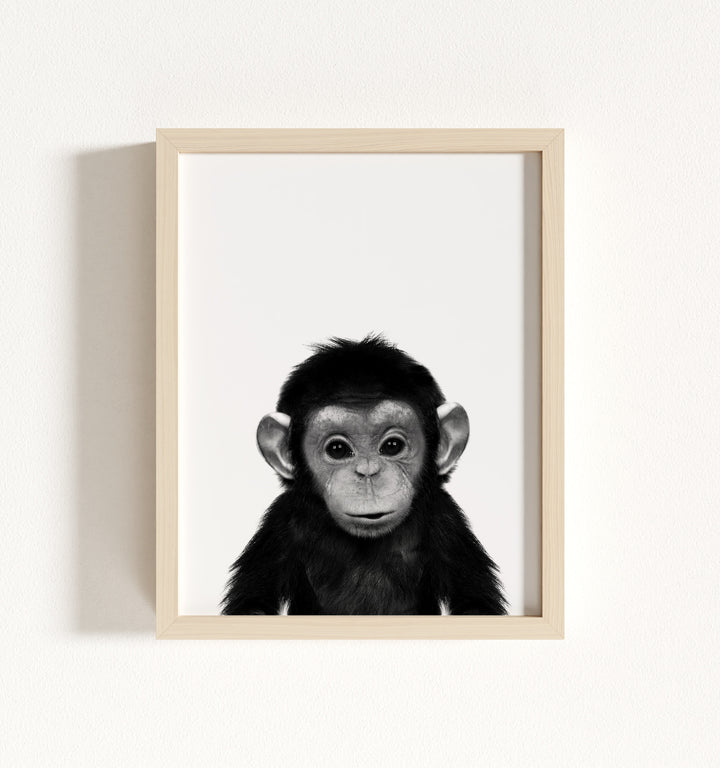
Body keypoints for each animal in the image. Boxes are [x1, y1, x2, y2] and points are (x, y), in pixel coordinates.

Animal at [221, 335, 506, 615]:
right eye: (337, 449)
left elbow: (475, 604)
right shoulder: (280, 522)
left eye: (392, 446)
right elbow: (253, 605)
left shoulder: (447, 520)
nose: (368, 472)